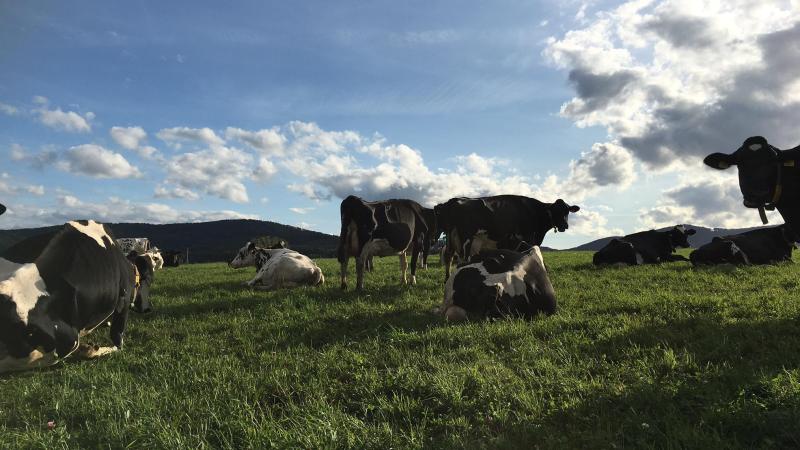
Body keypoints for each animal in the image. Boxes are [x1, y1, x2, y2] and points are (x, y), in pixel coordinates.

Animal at [435, 195, 580, 281]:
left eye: (567, 211)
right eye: (556, 211)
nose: (565, 225)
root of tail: (453, 200)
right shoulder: (527, 238)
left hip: (450, 238)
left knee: (448, 257)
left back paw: (447, 280)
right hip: (466, 238)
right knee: (462, 260)